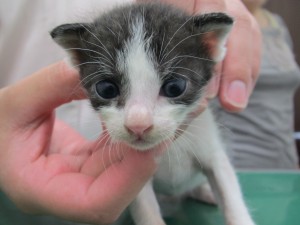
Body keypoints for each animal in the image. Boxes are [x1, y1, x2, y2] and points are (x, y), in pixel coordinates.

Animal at [51, 2, 255, 225]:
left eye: (175, 87)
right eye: (106, 89)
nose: (138, 125)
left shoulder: (212, 150)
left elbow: (228, 191)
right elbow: (146, 210)